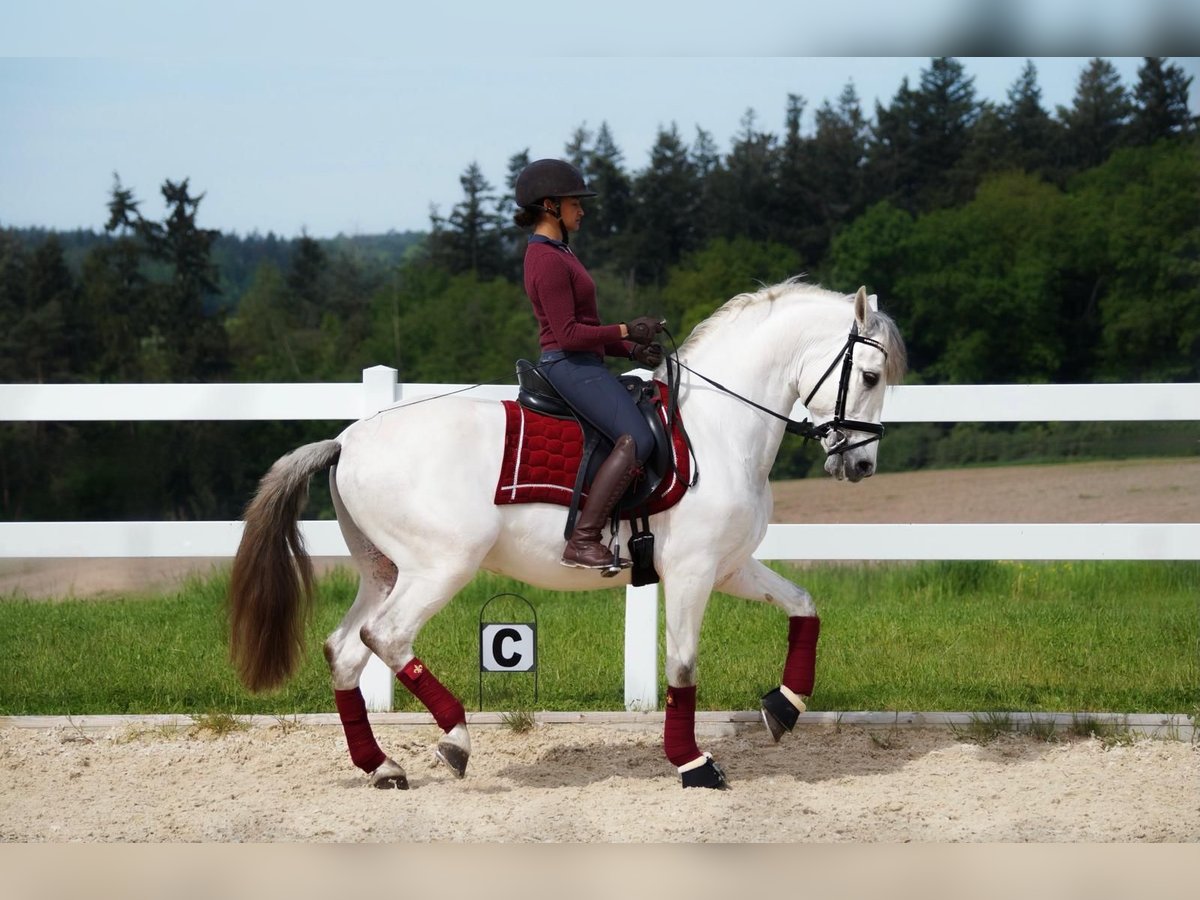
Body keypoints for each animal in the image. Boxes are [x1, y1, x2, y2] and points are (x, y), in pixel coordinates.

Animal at [229, 280, 902, 787]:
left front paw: (784, 707)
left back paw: (382, 767)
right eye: (870, 376)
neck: (717, 428)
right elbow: (683, 665)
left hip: (383, 569)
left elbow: (804, 606)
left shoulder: (728, 566)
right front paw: (694, 763)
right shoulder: (690, 571)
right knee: (385, 636)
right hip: (439, 566)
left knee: (345, 648)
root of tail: (347, 439)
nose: (862, 466)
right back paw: (455, 738)